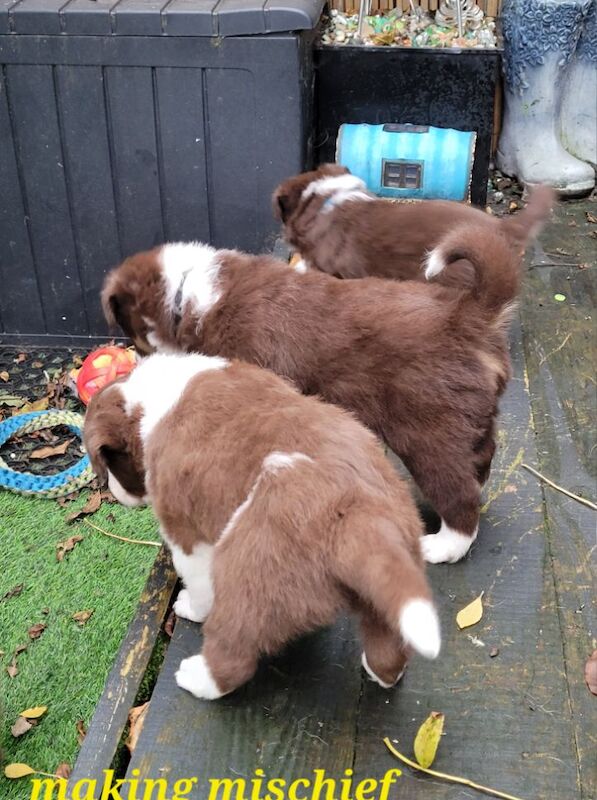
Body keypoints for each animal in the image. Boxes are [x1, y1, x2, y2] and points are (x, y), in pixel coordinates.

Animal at [82, 356, 438, 700]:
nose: (112, 491)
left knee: (234, 652)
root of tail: (357, 515)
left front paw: (191, 607)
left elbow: (198, 582)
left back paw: (197, 677)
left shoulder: (186, 534)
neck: (149, 400)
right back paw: (382, 672)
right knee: (388, 645)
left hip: (247, 575)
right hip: (395, 566)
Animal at [100, 217, 548, 564]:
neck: (187, 296)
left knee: (458, 494)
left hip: (428, 432)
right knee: (480, 460)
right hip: (472, 417)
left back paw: (441, 546)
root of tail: (468, 314)